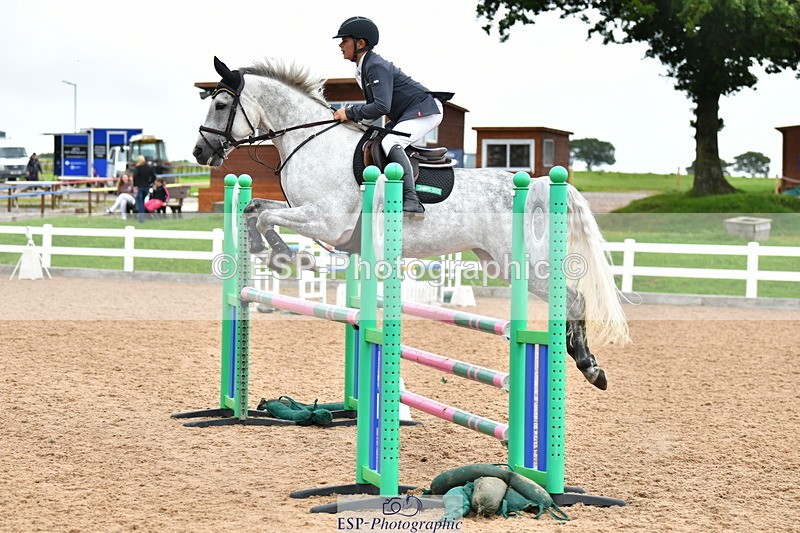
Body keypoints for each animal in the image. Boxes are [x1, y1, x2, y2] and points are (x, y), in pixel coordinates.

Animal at [193, 57, 628, 390]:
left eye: (221, 104)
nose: (199, 152)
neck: (313, 143)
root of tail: (537, 186)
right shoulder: (307, 211)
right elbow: (254, 209)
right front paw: (263, 248)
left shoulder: (326, 221)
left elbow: (267, 214)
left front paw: (287, 257)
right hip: (498, 263)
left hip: (528, 263)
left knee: (575, 298)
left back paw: (590, 367)